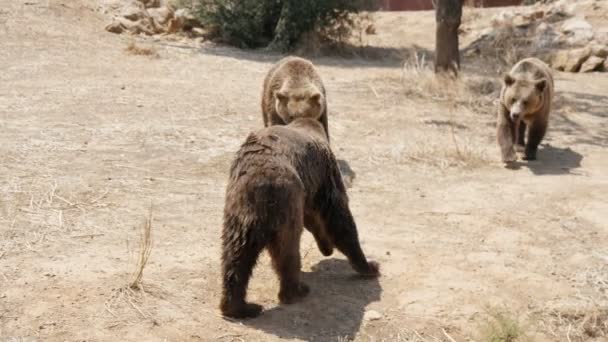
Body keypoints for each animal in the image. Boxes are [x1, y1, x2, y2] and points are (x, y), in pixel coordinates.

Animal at [218, 117, 380, 318]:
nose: (327, 250)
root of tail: (259, 179)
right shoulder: (324, 174)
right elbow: (339, 217)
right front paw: (371, 266)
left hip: (240, 208)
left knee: (236, 252)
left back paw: (240, 306)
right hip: (286, 201)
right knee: (288, 248)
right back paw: (296, 291)